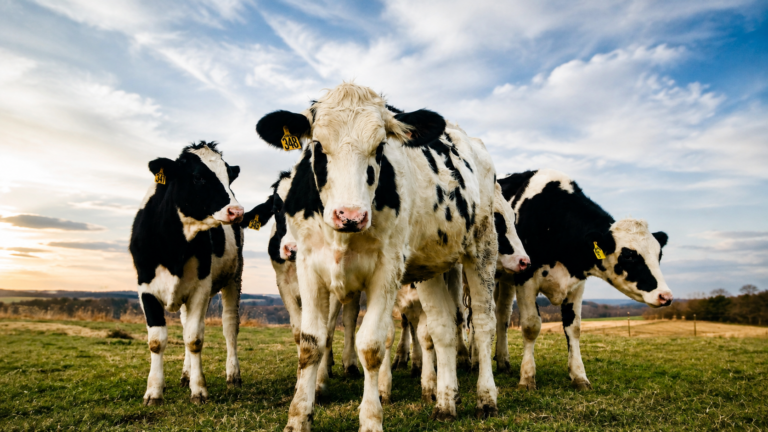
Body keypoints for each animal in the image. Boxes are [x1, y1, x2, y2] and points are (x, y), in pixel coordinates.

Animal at [129, 141, 245, 405]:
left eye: (229, 178)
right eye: (198, 177)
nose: (237, 211)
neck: (173, 245)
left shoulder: (200, 288)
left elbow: (194, 339)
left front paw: (199, 390)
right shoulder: (145, 288)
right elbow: (157, 341)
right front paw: (154, 391)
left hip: (235, 277)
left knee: (229, 326)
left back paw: (233, 375)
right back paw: (185, 374)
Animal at [241, 173, 362, 397]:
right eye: (277, 208)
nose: (293, 248)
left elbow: (327, 331)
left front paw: (318, 383)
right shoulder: (284, 285)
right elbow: (300, 332)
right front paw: (301, 381)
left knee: (349, 319)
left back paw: (349, 365)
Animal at [255, 83, 502, 431]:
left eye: (380, 147)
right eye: (317, 145)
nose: (350, 215)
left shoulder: (386, 271)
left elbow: (371, 345)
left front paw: (371, 418)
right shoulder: (308, 267)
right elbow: (310, 342)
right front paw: (298, 417)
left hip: (482, 246)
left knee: (482, 322)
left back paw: (486, 398)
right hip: (432, 266)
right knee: (442, 328)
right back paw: (445, 403)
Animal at [494, 169, 673, 390]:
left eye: (659, 254)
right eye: (629, 255)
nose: (665, 296)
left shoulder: (576, 284)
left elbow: (574, 328)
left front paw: (579, 376)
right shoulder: (526, 279)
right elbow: (530, 326)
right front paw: (527, 377)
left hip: (505, 280)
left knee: (502, 314)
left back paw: (502, 361)